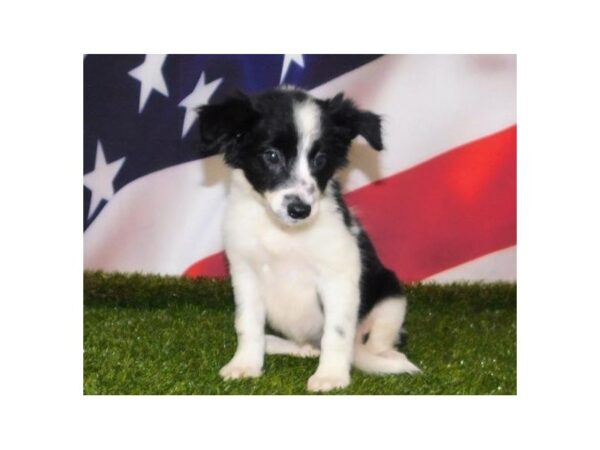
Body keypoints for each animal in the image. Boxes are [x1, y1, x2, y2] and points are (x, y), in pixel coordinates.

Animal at [199, 86, 420, 392]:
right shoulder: (245, 273)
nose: (299, 209)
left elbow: (337, 333)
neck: (283, 232)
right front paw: (245, 364)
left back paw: (384, 354)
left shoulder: (339, 277)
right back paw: (286, 346)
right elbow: (248, 325)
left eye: (320, 159)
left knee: (376, 339)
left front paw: (331, 376)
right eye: (271, 156)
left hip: (391, 295)